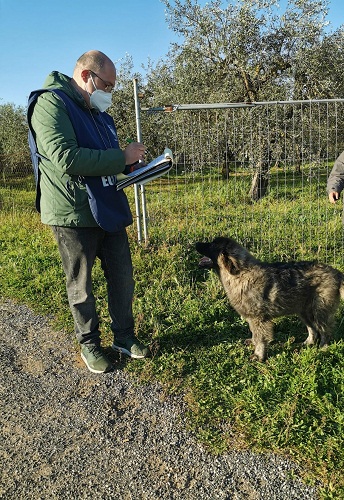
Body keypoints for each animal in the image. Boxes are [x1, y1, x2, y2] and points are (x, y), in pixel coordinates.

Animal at [196, 236, 344, 362]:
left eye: (212, 244)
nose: (196, 243)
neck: (240, 275)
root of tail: (337, 273)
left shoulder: (259, 319)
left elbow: (261, 338)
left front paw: (258, 355)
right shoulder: (253, 319)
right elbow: (254, 334)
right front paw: (253, 343)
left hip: (319, 310)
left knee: (325, 331)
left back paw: (323, 348)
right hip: (303, 310)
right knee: (313, 329)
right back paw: (308, 343)